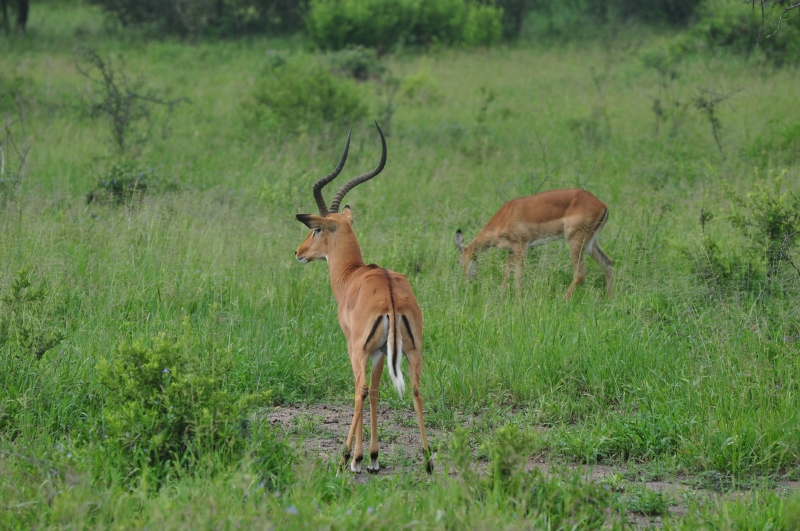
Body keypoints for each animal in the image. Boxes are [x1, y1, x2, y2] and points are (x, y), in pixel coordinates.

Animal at [294, 124, 431, 474]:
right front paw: (373, 457)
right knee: (414, 390)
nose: (299, 252)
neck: (352, 275)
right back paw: (428, 461)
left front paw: (359, 458)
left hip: (359, 350)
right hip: (412, 351)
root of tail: (392, 301)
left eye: (316, 230)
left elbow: (363, 391)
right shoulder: (382, 353)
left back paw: (345, 458)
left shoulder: (355, 347)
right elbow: (378, 392)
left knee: (360, 390)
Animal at [454, 189, 614, 299]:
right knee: (608, 263)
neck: (505, 216)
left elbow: (518, 275)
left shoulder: (521, 246)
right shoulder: (511, 250)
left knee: (581, 271)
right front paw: (502, 296)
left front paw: (518, 301)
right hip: (590, 243)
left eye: (458, 261)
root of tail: (602, 205)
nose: (468, 282)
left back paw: (563, 300)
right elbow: (507, 273)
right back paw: (609, 299)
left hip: (574, 240)